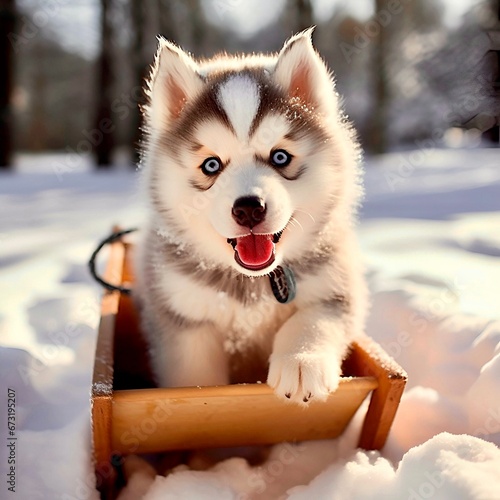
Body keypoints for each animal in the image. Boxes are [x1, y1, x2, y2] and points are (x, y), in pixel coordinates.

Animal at [135, 29, 366, 404]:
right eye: (211, 165)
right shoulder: (185, 318)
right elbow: (194, 377)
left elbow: (313, 320)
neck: (251, 283)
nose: (249, 208)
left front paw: (301, 363)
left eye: (280, 157)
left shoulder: (335, 286)